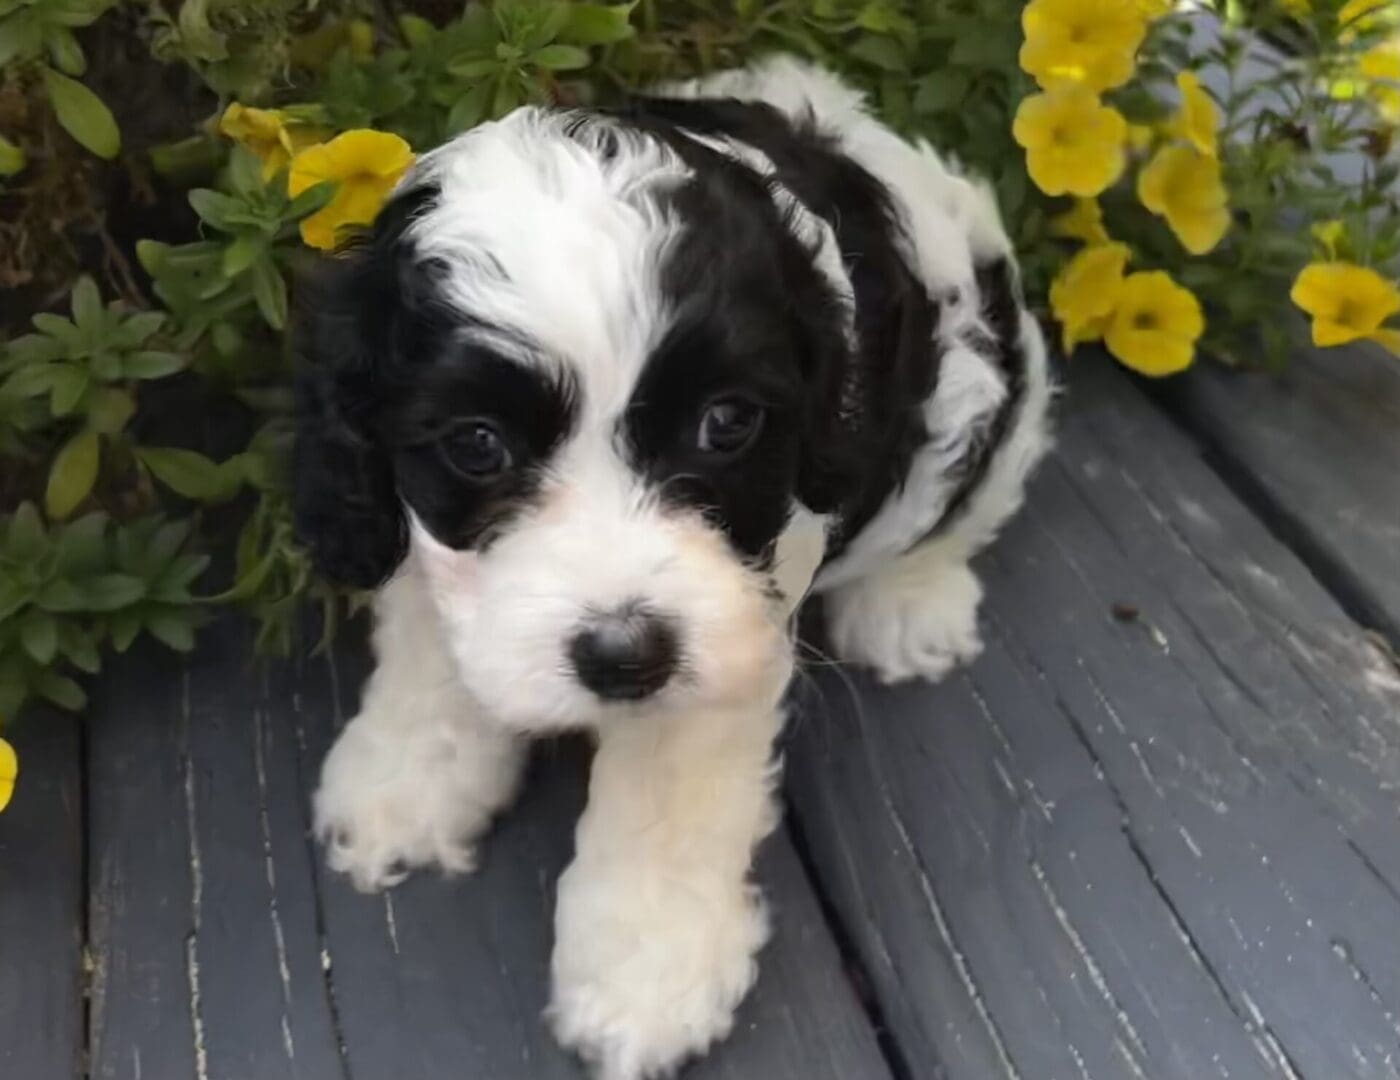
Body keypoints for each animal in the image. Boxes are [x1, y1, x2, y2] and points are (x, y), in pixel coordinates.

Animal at [295, 57, 1052, 1080]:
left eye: (726, 423)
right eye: (477, 443)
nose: (622, 659)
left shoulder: (732, 625)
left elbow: (664, 791)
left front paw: (642, 978)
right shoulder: (425, 538)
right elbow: (431, 656)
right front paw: (405, 786)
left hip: (996, 387)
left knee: (964, 500)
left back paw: (911, 605)